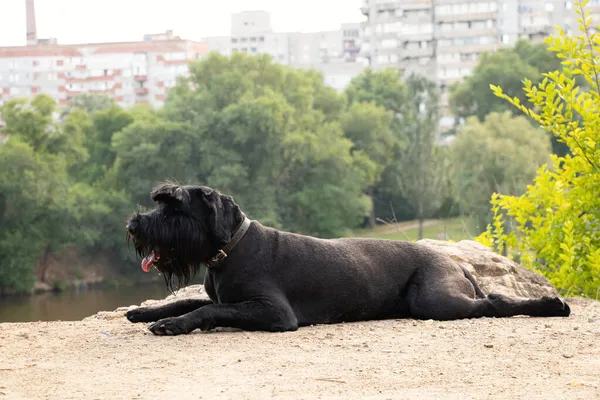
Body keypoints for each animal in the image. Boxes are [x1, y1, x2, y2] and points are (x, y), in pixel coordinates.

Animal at [124, 183, 568, 336]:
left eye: (175, 208)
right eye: (159, 202)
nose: (133, 225)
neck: (229, 249)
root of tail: (455, 262)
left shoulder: (273, 312)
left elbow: (205, 311)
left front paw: (170, 325)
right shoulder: (221, 296)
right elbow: (190, 300)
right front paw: (144, 312)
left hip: (435, 301)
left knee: (493, 302)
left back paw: (552, 305)